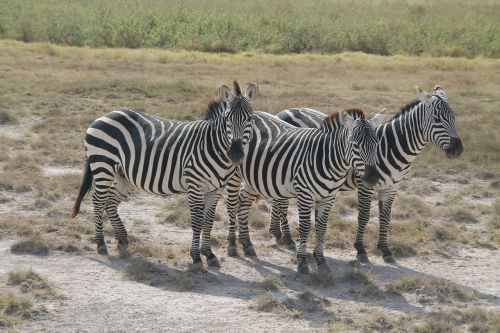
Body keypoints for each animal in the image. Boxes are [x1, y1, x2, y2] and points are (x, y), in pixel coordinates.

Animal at [72, 80, 260, 268]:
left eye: (250, 119)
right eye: (227, 118)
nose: (235, 154)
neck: (211, 146)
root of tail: (105, 115)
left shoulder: (216, 189)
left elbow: (208, 221)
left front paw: (209, 254)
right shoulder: (194, 185)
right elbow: (197, 220)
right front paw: (196, 256)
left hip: (123, 175)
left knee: (110, 201)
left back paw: (122, 240)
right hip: (103, 165)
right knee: (98, 200)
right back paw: (101, 243)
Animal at [225, 110, 384, 274]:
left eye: (377, 144)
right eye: (355, 145)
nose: (372, 178)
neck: (327, 159)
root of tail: (254, 112)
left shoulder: (328, 197)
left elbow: (321, 228)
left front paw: (321, 260)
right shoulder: (305, 195)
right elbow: (305, 227)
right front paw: (302, 262)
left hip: (252, 179)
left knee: (243, 204)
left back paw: (247, 244)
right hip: (234, 173)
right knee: (232, 205)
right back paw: (232, 245)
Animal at [268, 85, 462, 262]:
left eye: (454, 117)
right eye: (437, 119)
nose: (458, 150)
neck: (391, 148)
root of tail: (281, 112)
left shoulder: (391, 188)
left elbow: (385, 218)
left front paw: (385, 249)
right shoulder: (366, 185)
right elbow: (364, 216)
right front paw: (361, 250)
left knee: (277, 198)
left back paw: (276, 232)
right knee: (281, 202)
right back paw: (286, 238)